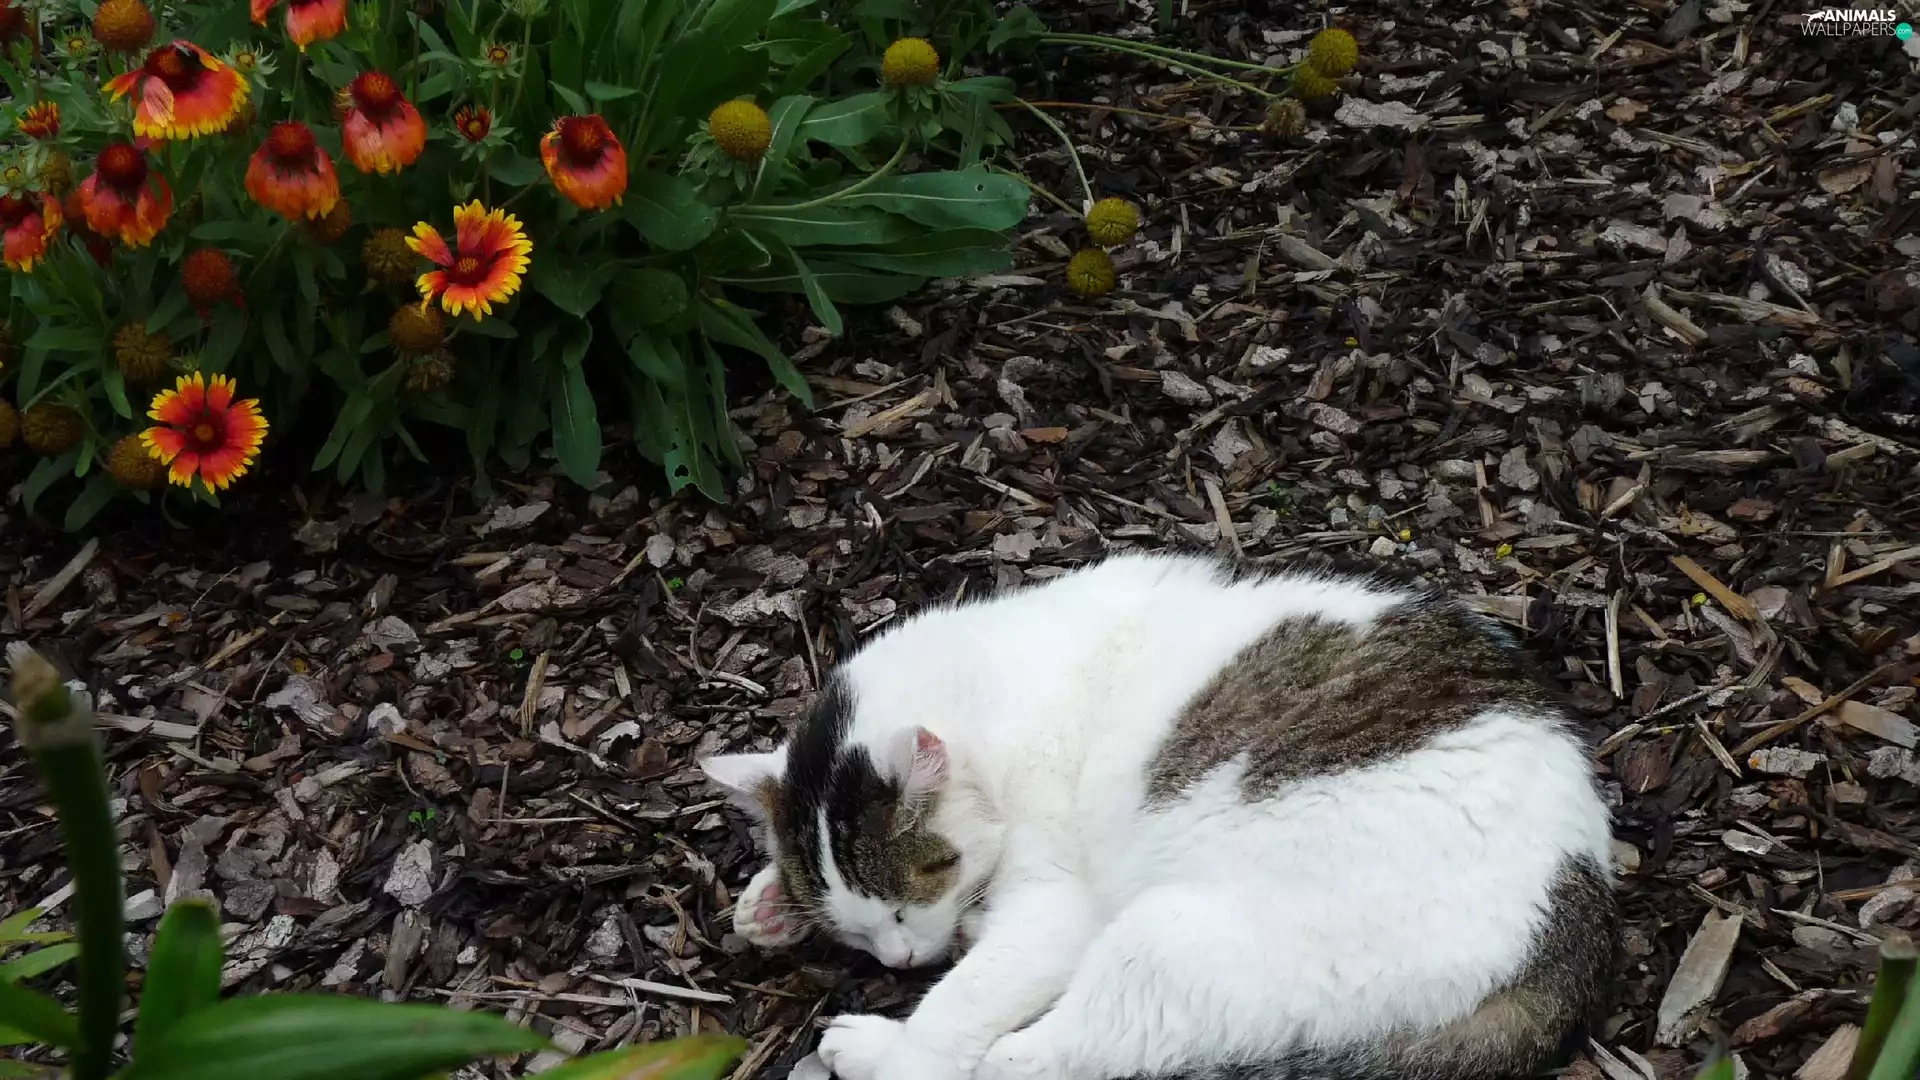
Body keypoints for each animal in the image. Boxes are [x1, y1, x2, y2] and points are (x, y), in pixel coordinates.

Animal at [701, 552, 1616, 1080]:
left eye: (900, 906)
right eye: (859, 930)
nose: (897, 961)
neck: (993, 682)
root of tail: (1573, 935)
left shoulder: (1054, 911)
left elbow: (965, 1005)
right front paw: (770, 899)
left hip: (1169, 937)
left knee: (1030, 1062)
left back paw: (870, 1047)